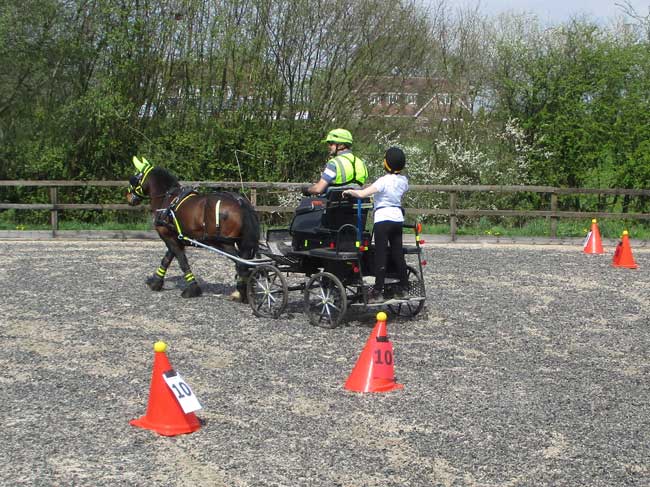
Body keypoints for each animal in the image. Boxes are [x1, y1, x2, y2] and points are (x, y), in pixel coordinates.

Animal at [125, 158, 260, 300]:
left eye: (134, 178)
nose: (128, 196)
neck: (167, 200)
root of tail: (240, 203)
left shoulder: (168, 237)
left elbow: (182, 261)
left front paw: (192, 289)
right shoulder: (175, 237)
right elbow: (166, 259)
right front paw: (156, 282)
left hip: (225, 243)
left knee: (242, 264)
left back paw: (241, 292)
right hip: (240, 242)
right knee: (244, 265)